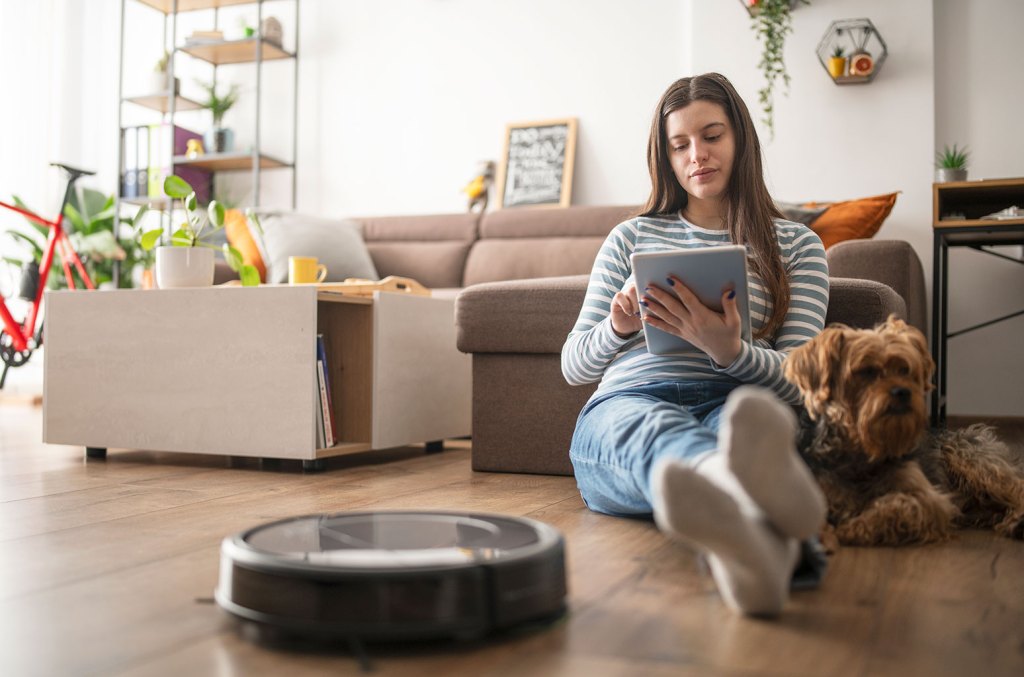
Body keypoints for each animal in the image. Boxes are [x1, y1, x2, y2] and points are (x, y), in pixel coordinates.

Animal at [782, 317, 1024, 548]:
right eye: (867, 371)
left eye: (905, 370)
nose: (903, 392)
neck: (865, 448)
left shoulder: (931, 500)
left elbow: (896, 504)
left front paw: (852, 528)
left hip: (968, 455)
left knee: (1017, 487)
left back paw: (1017, 522)